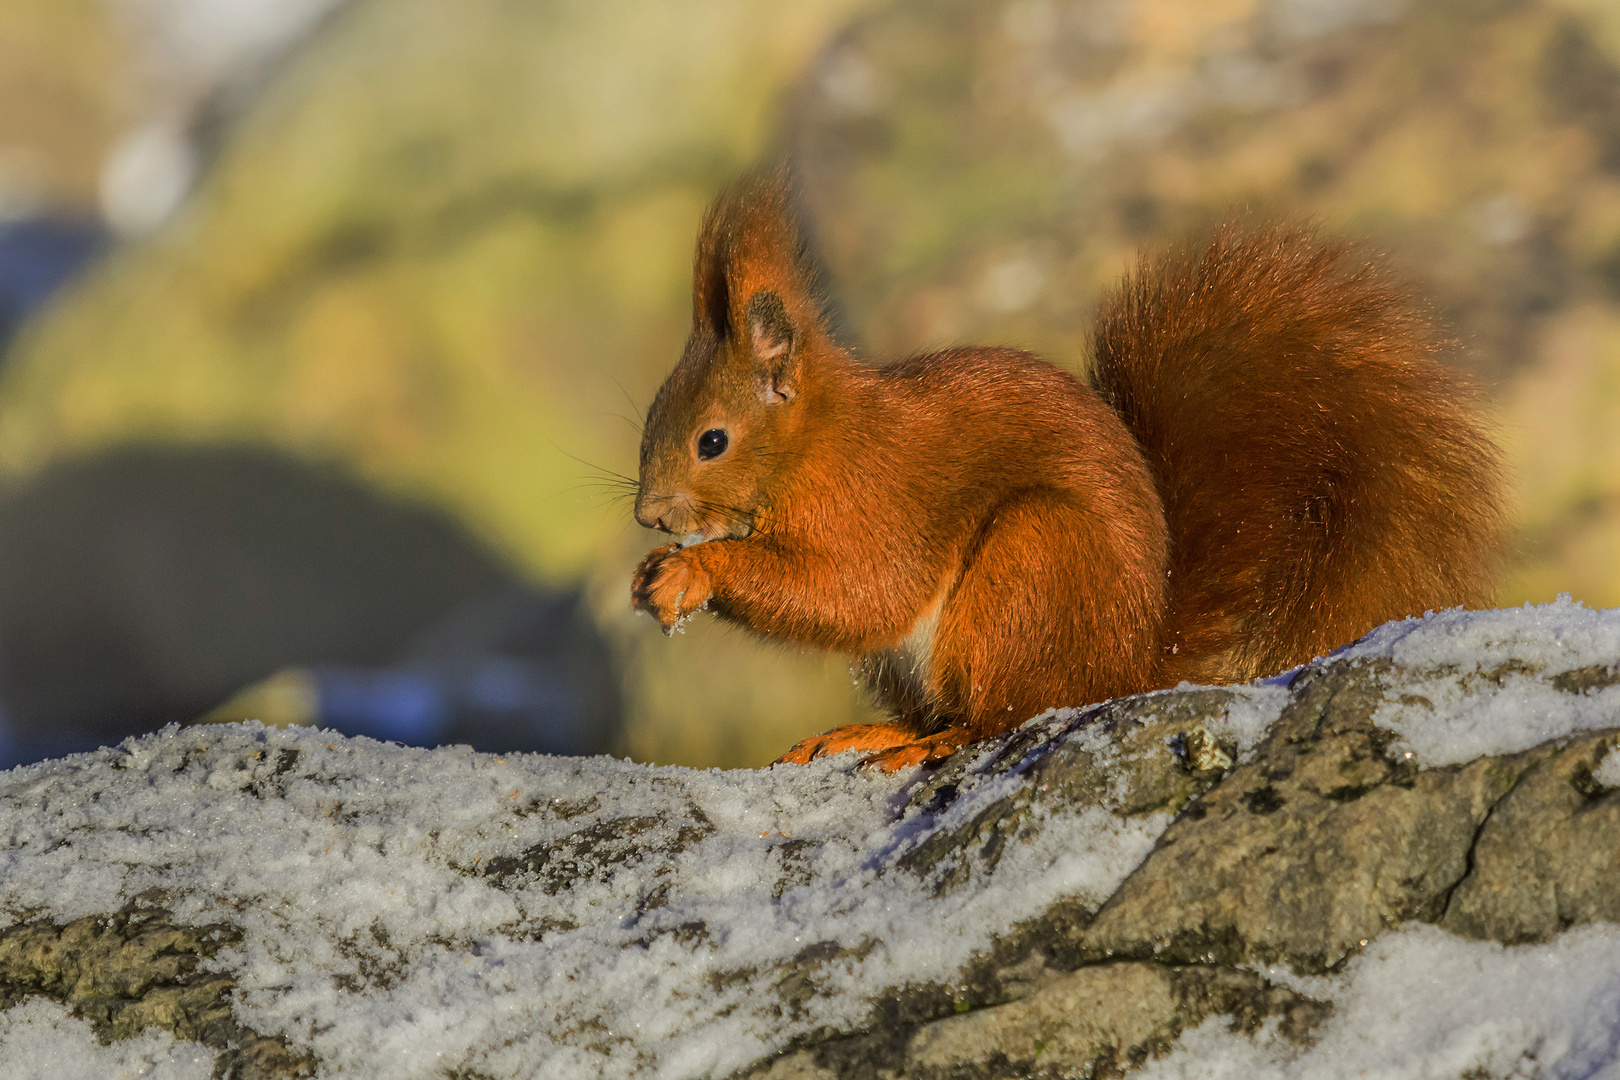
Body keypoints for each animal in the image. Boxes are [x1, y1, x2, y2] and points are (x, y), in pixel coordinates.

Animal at [628, 173, 1503, 773]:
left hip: (1032, 561)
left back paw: (931, 744)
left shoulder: (877, 499)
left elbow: (859, 592)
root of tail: (1126, 668)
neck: (819, 441)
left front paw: (694, 572)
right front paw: (654, 573)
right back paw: (871, 731)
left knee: (1001, 715)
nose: (650, 519)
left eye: (712, 441)